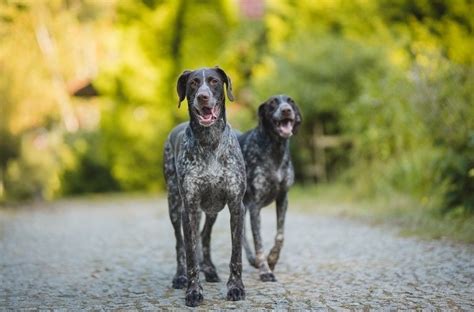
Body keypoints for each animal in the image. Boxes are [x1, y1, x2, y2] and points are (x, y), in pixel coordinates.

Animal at [163, 66, 246, 308]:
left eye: (214, 81)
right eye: (193, 83)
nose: (202, 97)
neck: (210, 141)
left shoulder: (236, 206)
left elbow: (236, 255)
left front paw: (236, 288)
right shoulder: (189, 208)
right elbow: (190, 254)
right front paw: (193, 291)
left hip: (211, 210)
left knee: (205, 236)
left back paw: (209, 269)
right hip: (175, 206)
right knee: (181, 244)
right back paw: (180, 276)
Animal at [239, 94, 302, 282]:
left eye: (290, 101)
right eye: (273, 102)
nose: (286, 110)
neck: (274, 149)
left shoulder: (283, 199)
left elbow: (280, 236)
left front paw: (272, 258)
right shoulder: (255, 206)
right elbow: (258, 242)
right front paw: (265, 270)